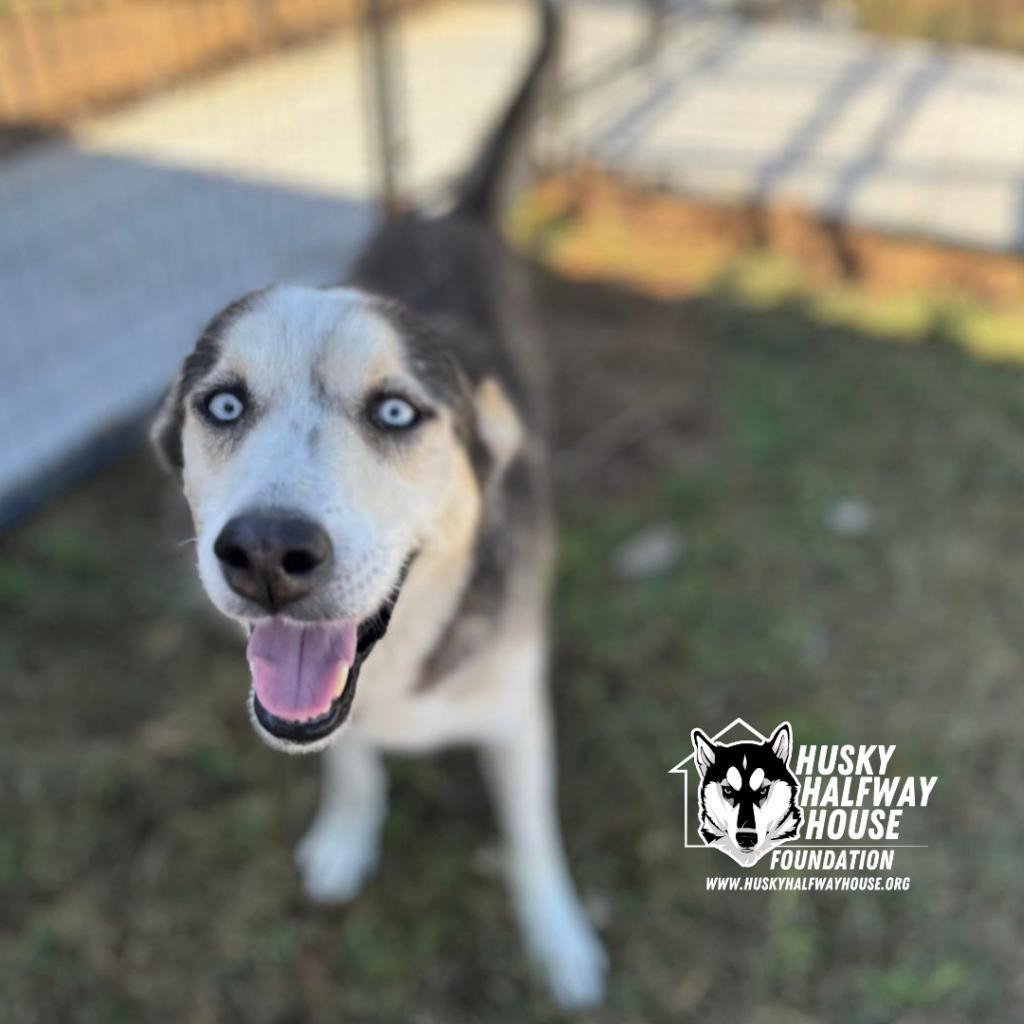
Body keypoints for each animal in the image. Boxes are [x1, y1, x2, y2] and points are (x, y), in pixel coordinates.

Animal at [148, 0, 602, 1007]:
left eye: (396, 412)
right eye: (223, 405)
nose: (267, 553)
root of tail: (448, 215)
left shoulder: (518, 718)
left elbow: (535, 840)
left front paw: (559, 940)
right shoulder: (332, 715)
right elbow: (352, 767)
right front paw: (346, 838)